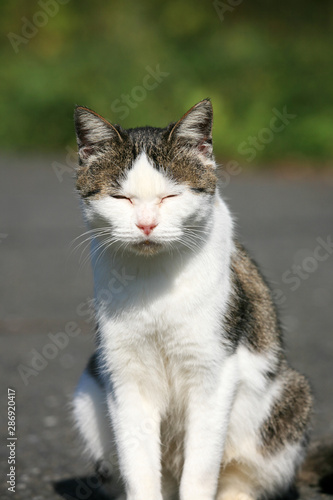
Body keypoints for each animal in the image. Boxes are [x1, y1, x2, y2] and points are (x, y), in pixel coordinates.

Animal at [71, 100, 312, 500]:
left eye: (172, 196)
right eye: (120, 198)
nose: (146, 225)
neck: (154, 281)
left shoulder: (213, 373)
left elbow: (201, 468)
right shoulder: (125, 376)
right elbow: (138, 465)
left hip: (291, 396)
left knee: (241, 479)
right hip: (88, 387)